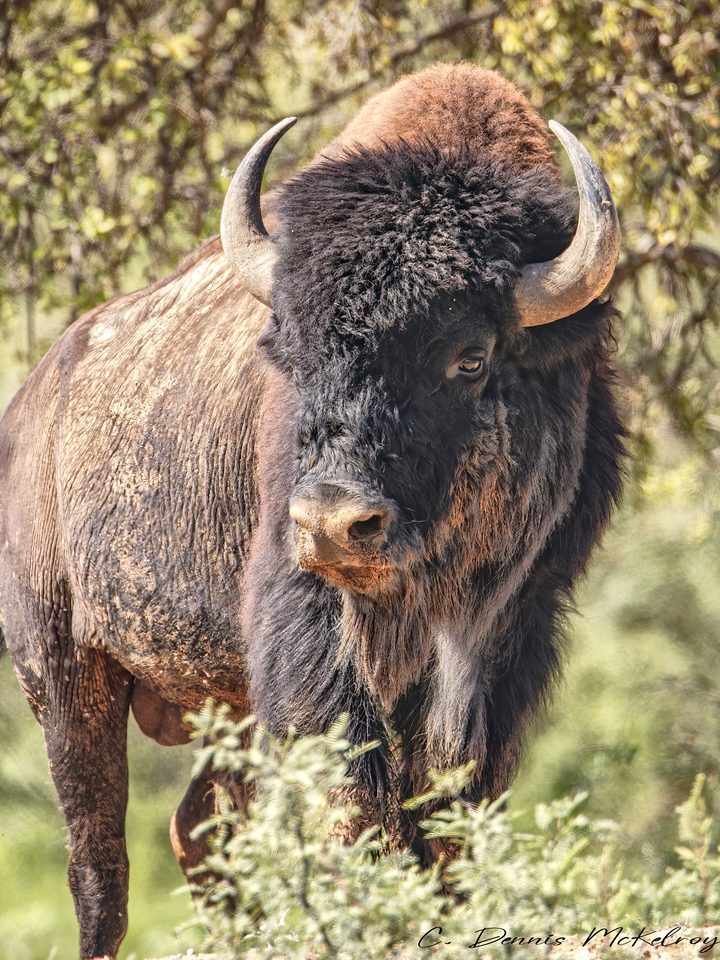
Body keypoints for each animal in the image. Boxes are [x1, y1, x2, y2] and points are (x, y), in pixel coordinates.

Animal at [0, 62, 624, 959]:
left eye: (470, 358)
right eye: (289, 349)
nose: (334, 523)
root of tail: (31, 404)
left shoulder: (512, 629)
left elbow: (450, 811)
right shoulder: (307, 624)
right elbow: (357, 801)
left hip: (217, 704)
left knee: (198, 829)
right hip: (61, 669)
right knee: (99, 865)